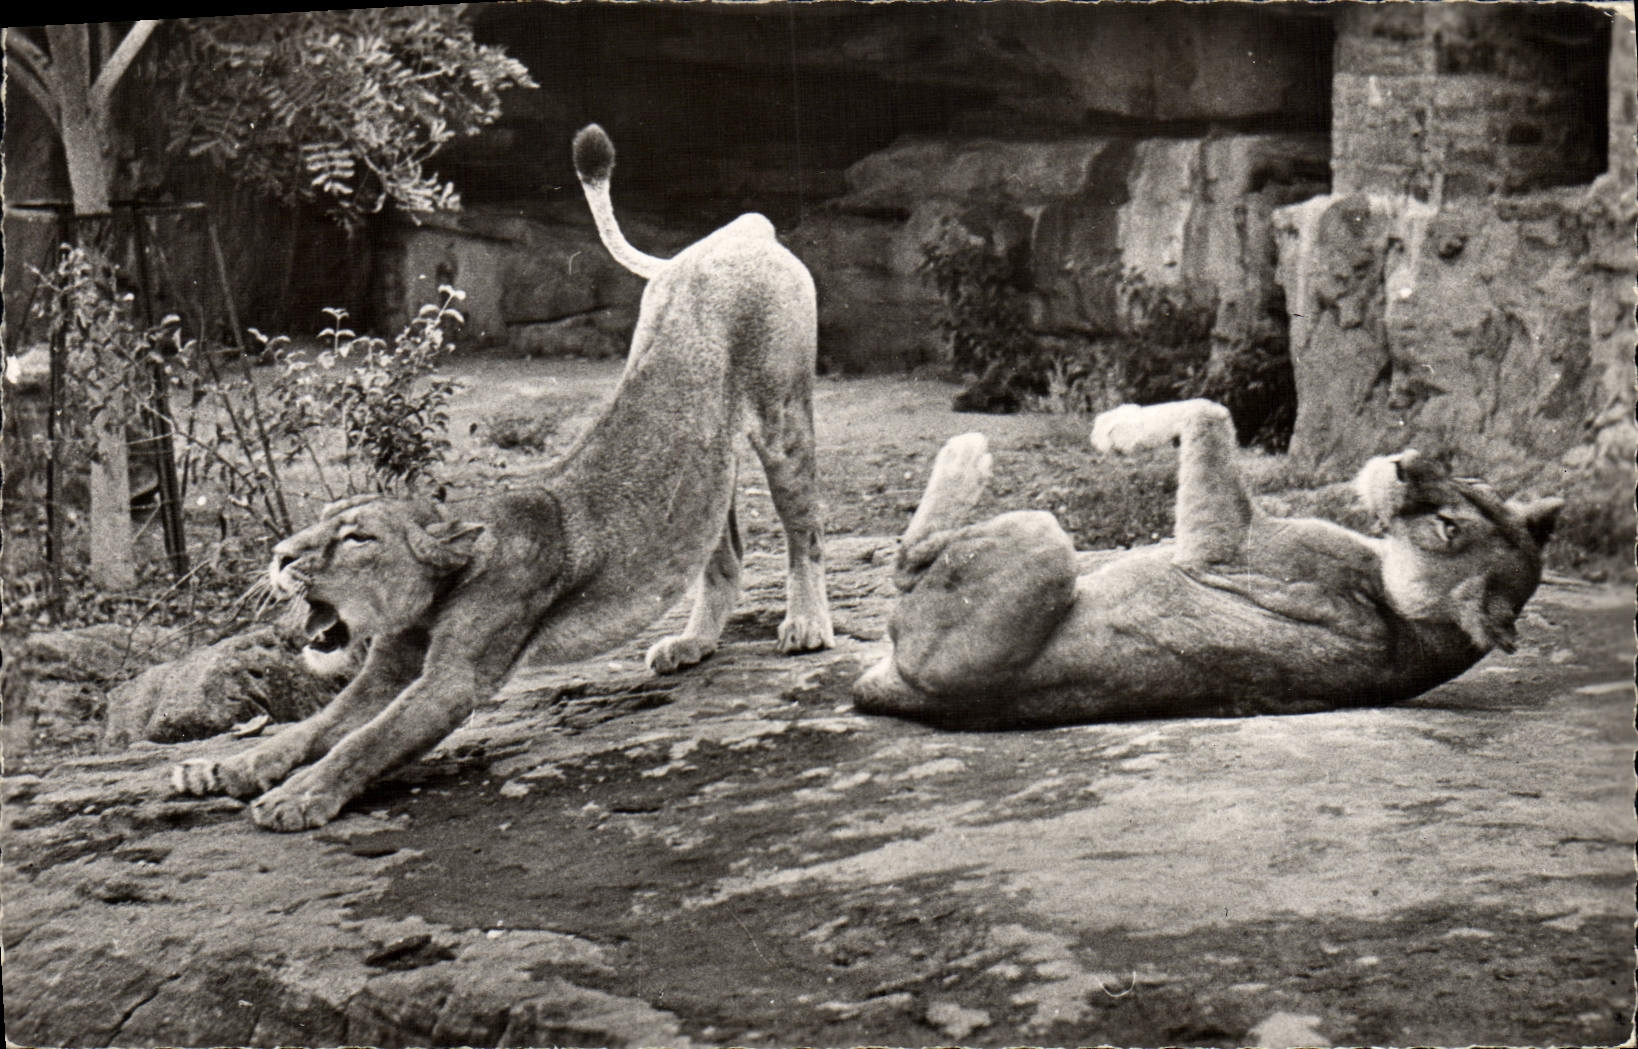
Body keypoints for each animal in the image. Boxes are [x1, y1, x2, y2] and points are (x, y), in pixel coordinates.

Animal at [173, 124, 834, 830]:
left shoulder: (453, 681)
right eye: (322, 522)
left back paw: (806, 626)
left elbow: (363, 742)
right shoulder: (384, 672)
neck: (435, 594)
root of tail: (737, 233)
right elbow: (312, 728)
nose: (279, 556)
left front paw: (294, 797)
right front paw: (222, 768)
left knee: (804, 531)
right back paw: (693, 642)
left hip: (783, 418)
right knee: (722, 547)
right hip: (707, 452)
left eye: (357, 539)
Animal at [853, 399, 1562, 729]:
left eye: (1449, 528)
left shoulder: (1220, 544)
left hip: (1044, 538)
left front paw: (1115, 427)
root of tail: (891, 693)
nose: (1406, 463)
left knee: (909, 562)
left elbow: (1212, 413)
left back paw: (967, 454)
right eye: (1472, 484)